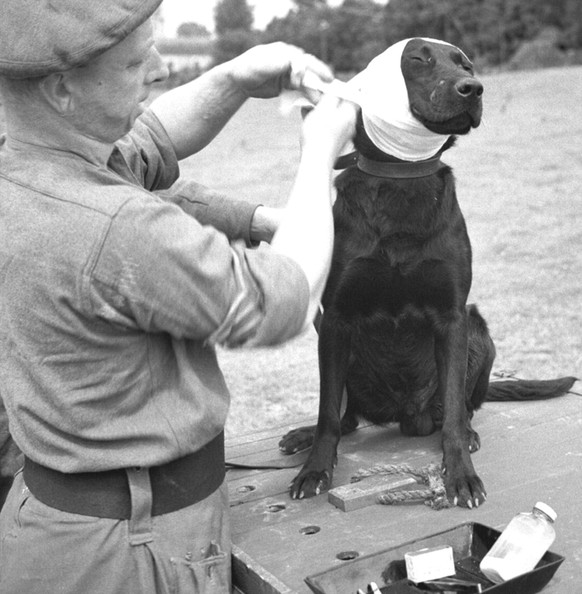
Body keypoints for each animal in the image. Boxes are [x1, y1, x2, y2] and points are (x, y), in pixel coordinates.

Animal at [280, 39, 576, 506]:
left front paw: (460, 474)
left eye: (466, 64)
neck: (402, 181)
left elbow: (454, 412)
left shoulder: (452, 316)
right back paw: (304, 436)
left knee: (460, 408)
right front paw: (315, 469)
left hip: (477, 327)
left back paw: (467, 432)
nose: (474, 88)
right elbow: (328, 412)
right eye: (417, 59)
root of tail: (407, 415)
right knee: (346, 417)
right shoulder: (336, 318)